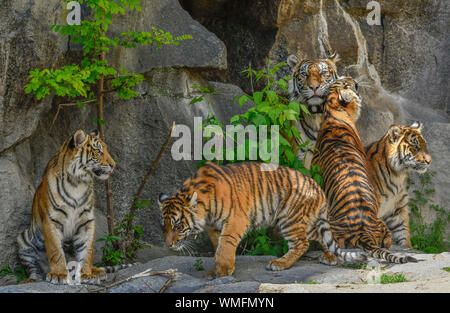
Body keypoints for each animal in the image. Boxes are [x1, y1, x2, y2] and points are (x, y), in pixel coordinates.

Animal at [16, 129, 116, 282]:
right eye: (99, 151)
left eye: (106, 150)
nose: (114, 164)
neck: (78, 183)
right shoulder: (51, 220)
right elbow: (55, 250)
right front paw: (58, 274)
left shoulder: (86, 222)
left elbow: (87, 250)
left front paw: (87, 274)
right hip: (24, 241)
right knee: (34, 270)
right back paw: (33, 279)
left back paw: (97, 271)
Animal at [158, 161, 366, 276]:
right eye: (164, 227)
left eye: (178, 226)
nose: (168, 245)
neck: (205, 211)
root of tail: (319, 187)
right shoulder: (213, 227)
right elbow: (218, 244)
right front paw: (219, 268)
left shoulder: (236, 220)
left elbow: (225, 244)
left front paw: (223, 270)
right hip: (306, 221)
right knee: (322, 237)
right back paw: (330, 257)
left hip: (289, 218)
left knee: (302, 244)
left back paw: (280, 264)